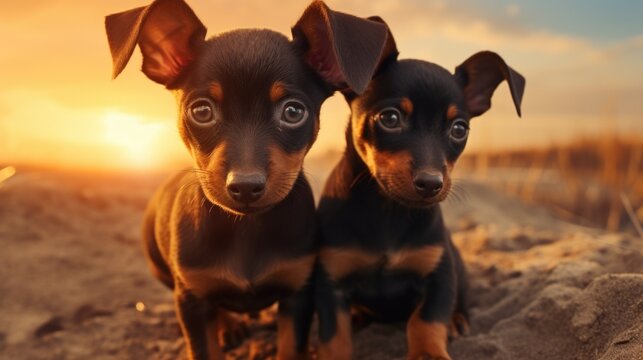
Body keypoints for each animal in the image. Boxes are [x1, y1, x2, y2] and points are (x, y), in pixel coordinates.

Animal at [104, 1, 394, 358]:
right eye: (201, 111)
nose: (245, 186)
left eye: (293, 112)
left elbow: (290, 348)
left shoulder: (297, 292)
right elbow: (204, 345)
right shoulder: (192, 299)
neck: (246, 228)